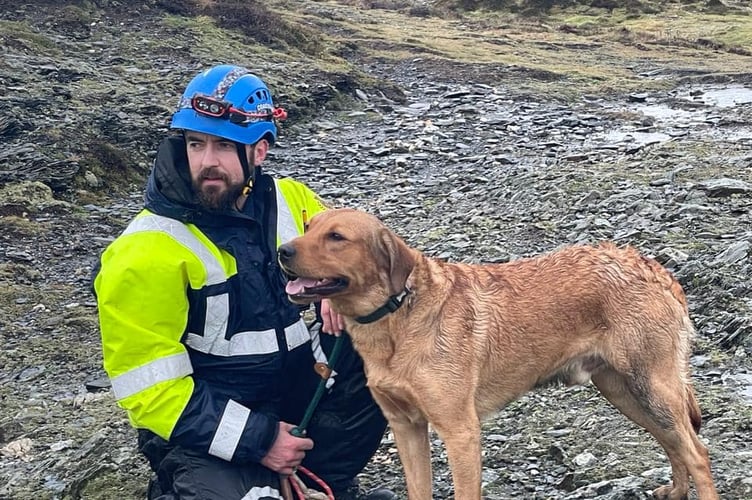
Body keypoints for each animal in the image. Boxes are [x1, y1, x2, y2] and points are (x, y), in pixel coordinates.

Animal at [276, 208, 716, 500]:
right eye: (308, 227)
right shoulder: (406, 427)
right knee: (673, 442)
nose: (282, 251)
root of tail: (653, 267)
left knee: (697, 452)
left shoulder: (460, 432)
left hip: (652, 387)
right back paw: (676, 490)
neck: (395, 317)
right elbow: (419, 489)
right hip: (624, 391)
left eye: (337, 237)